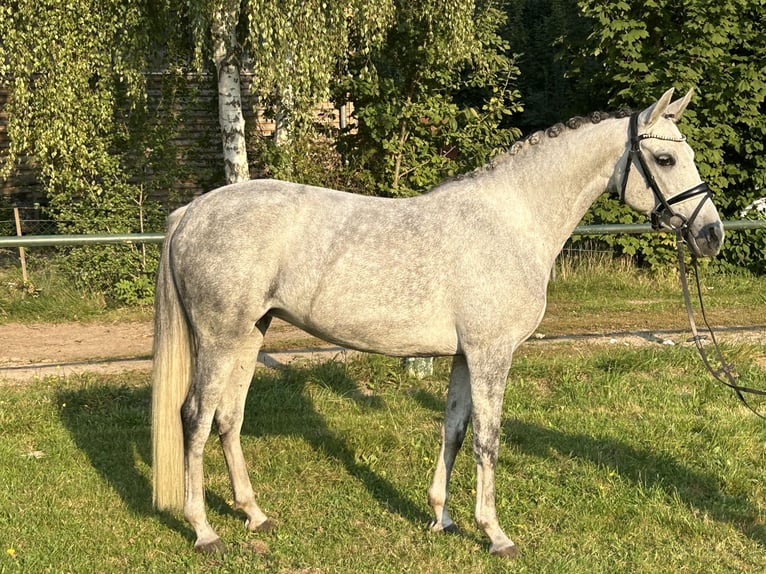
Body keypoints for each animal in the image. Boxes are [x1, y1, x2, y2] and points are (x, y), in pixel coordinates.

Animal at [150, 89, 728, 560]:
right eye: (665, 158)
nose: (712, 235)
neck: (512, 220)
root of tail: (191, 212)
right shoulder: (492, 353)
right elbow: (488, 438)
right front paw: (495, 534)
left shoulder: (463, 356)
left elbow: (454, 430)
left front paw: (442, 518)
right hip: (219, 338)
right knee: (196, 417)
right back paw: (204, 531)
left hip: (251, 333)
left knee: (229, 418)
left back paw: (254, 514)